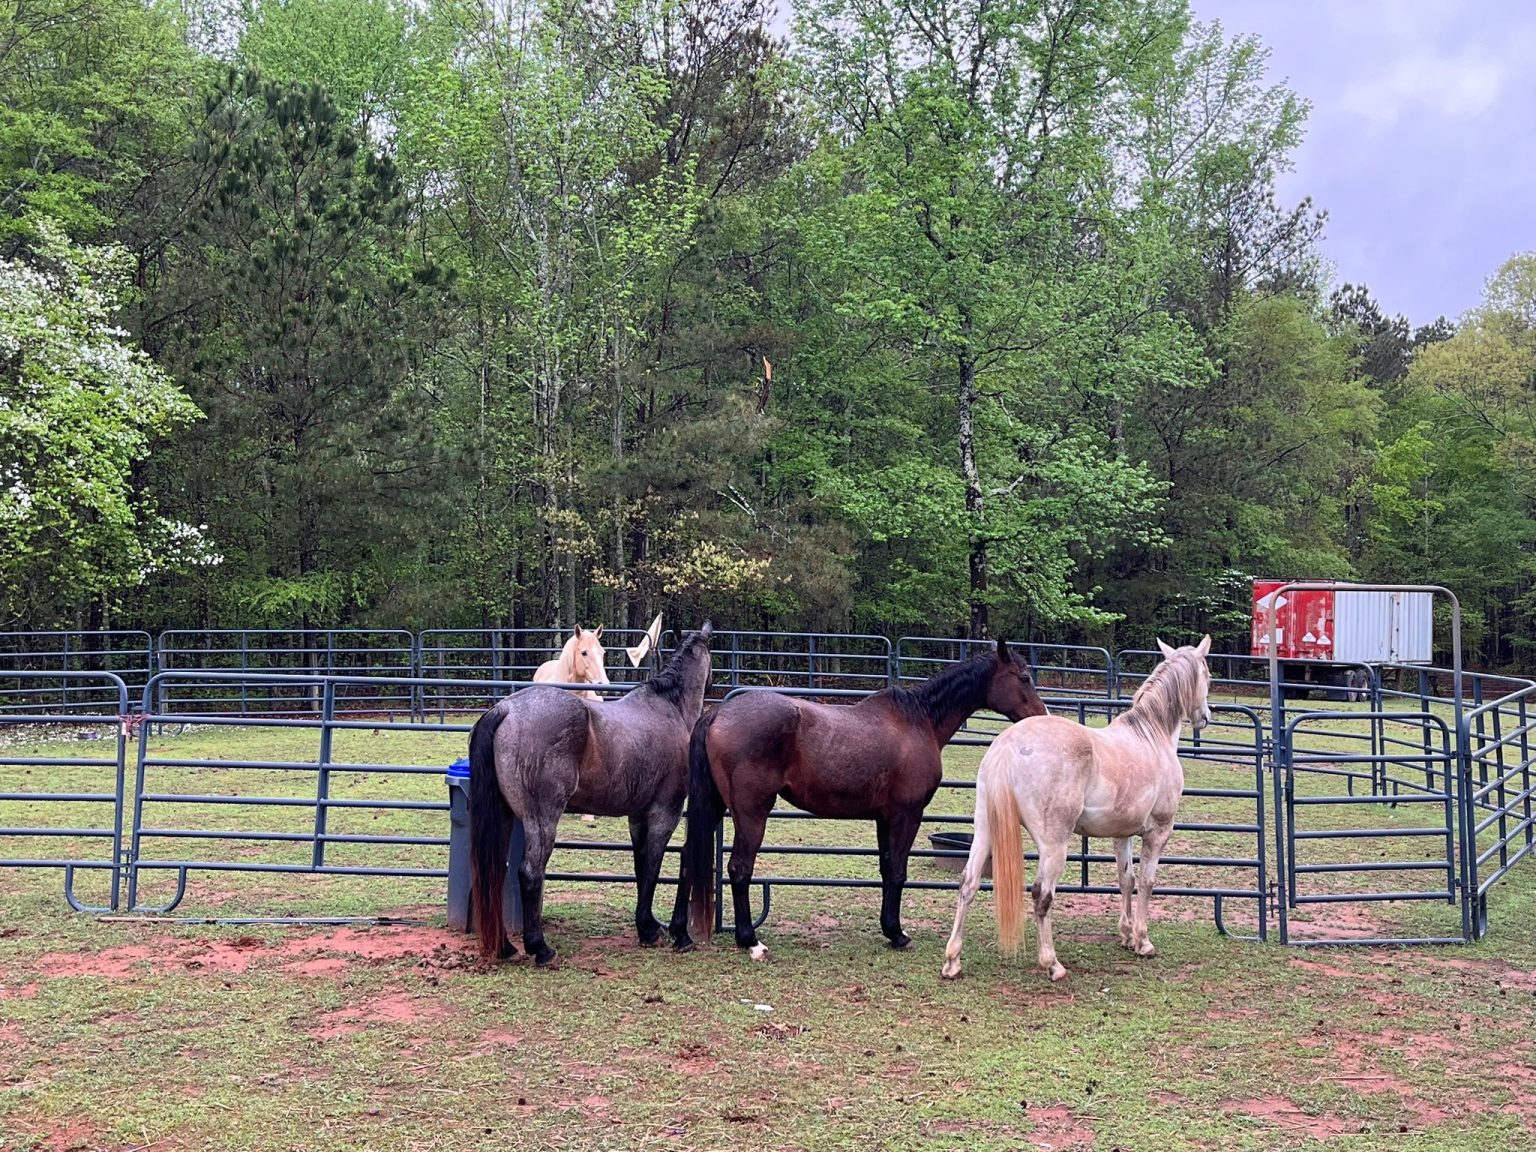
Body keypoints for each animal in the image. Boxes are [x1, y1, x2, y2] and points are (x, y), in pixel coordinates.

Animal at [469, 622, 714, 967]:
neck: (670, 709)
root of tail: (506, 710)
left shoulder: (637, 816)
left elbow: (641, 867)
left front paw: (647, 926)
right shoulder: (665, 813)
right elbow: (653, 865)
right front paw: (651, 929)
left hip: (505, 816)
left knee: (496, 874)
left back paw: (505, 947)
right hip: (542, 819)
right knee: (530, 873)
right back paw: (540, 949)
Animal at [676, 639, 1048, 959]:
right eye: (1024, 677)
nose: (1041, 717)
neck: (920, 721)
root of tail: (717, 714)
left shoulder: (885, 817)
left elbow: (886, 869)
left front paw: (890, 929)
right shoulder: (907, 814)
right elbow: (897, 871)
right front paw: (898, 934)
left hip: (714, 807)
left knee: (687, 860)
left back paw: (681, 935)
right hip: (751, 813)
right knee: (739, 868)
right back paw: (750, 941)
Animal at [940, 636, 1212, 983]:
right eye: (1207, 674)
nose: (1205, 716)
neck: (1152, 736)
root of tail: (1008, 746)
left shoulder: (1122, 834)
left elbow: (1127, 879)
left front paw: (1126, 936)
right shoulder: (1158, 832)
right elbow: (1148, 882)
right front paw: (1142, 941)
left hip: (984, 832)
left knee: (968, 884)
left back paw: (953, 961)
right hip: (1054, 845)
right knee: (1042, 894)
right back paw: (1052, 964)